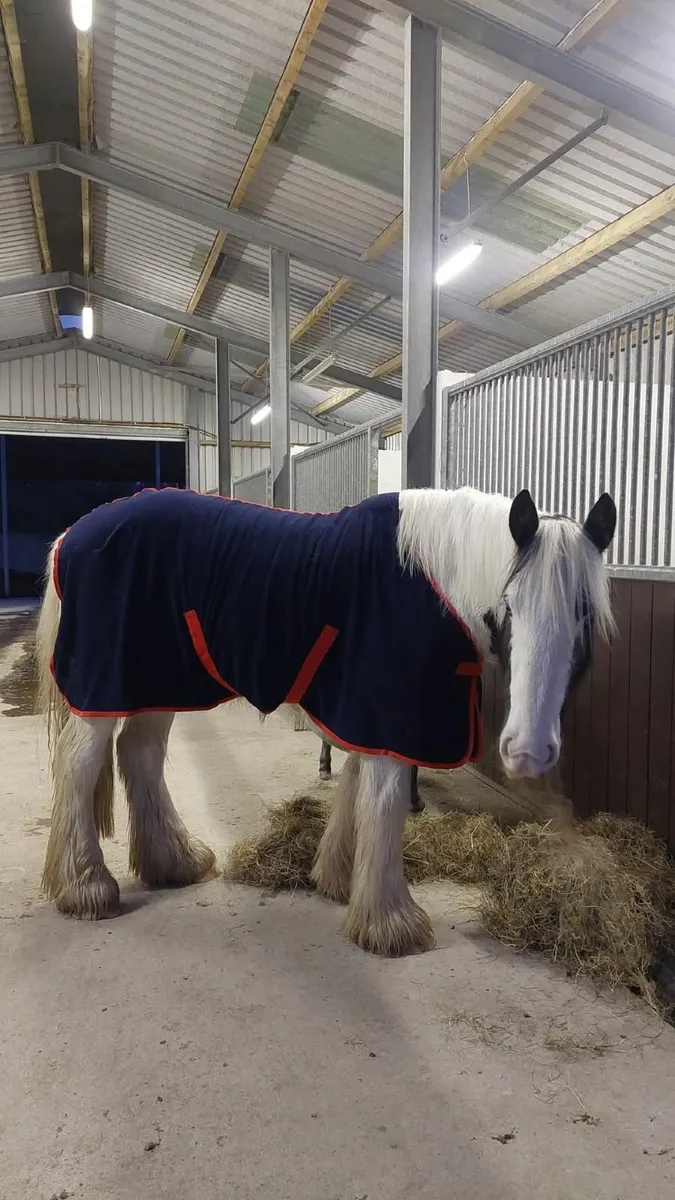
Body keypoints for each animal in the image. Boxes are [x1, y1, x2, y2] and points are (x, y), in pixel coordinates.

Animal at [35, 484, 616, 957]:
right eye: (510, 606)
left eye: (587, 616)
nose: (528, 752)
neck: (435, 579)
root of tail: (71, 535)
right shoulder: (388, 710)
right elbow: (385, 802)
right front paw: (390, 923)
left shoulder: (365, 710)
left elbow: (357, 785)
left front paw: (339, 878)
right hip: (105, 687)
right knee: (79, 765)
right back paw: (86, 886)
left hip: (159, 682)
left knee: (141, 756)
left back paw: (173, 862)